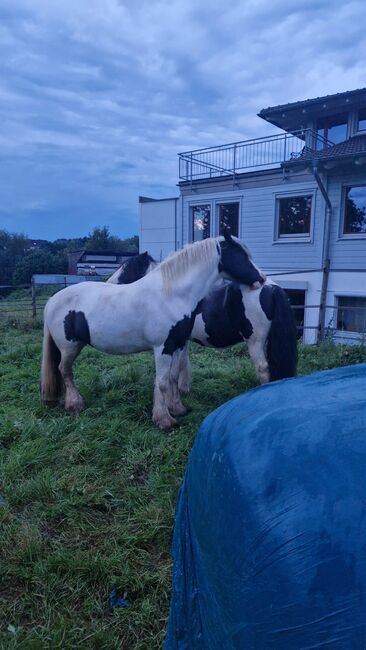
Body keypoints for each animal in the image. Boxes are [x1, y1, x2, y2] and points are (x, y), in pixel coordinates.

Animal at [41, 234, 264, 430]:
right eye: (241, 255)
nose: (261, 278)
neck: (171, 294)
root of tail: (52, 301)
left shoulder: (178, 344)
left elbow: (172, 377)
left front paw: (177, 408)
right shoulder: (162, 347)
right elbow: (162, 382)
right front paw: (164, 420)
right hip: (69, 346)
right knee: (65, 370)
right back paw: (74, 405)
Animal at [108, 243, 298, 388]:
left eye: (126, 269)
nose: (108, 284)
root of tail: (271, 288)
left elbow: (177, 368)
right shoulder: (182, 341)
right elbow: (183, 365)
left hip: (255, 342)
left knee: (263, 368)